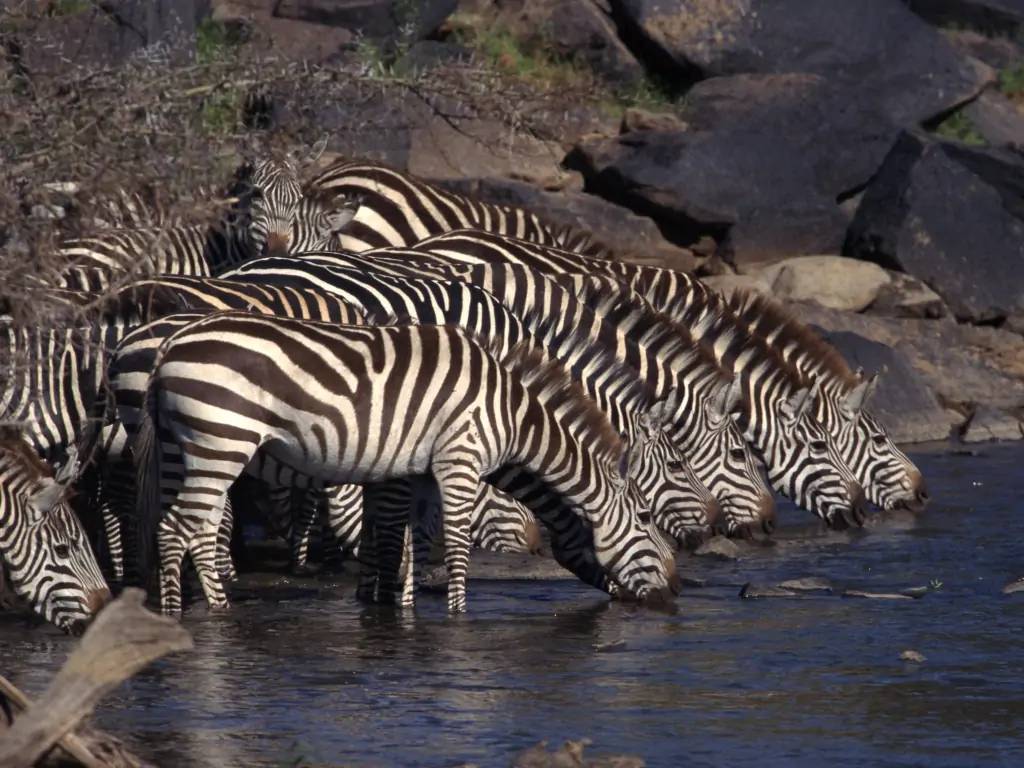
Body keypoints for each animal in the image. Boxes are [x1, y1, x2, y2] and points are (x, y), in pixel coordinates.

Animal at [128, 315, 679, 618]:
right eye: (646, 518)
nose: (673, 595)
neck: (512, 414)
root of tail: (171, 345)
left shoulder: (417, 474)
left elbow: (411, 545)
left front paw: (404, 611)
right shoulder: (459, 459)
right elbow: (453, 546)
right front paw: (458, 617)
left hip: (187, 449)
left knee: (191, 530)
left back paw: (210, 606)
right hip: (222, 440)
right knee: (177, 531)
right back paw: (193, 616)